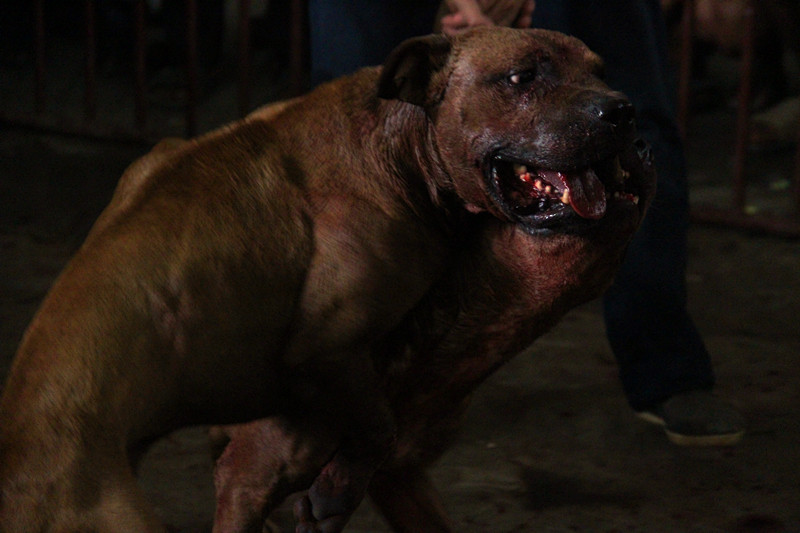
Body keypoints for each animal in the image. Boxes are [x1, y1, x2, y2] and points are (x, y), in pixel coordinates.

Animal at [0, 27, 655, 532]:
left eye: (601, 71)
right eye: (521, 77)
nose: (623, 109)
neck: (398, 147)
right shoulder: (326, 351)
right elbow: (377, 424)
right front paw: (336, 491)